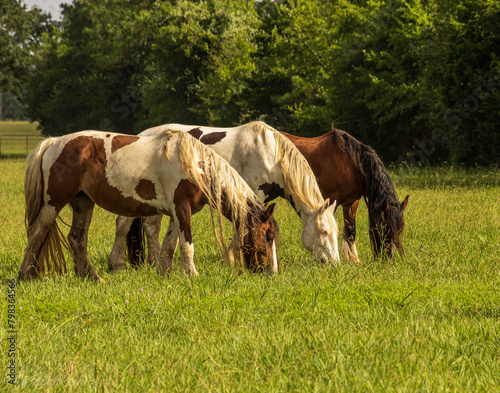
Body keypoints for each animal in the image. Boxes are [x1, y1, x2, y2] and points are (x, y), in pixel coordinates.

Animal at [17, 129, 280, 282]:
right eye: (268, 236)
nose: (271, 272)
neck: (195, 165)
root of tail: (52, 143)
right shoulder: (182, 209)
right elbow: (187, 245)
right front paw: (192, 274)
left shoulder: (176, 213)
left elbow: (170, 245)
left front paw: (164, 273)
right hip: (53, 203)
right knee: (37, 233)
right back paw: (26, 275)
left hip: (83, 202)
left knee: (77, 239)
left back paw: (91, 277)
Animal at [110, 120, 340, 270]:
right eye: (324, 232)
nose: (335, 264)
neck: (271, 154)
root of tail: (141, 135)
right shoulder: (250, 194)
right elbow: (239, 231)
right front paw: (231, 259)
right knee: (123, 223)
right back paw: (118, 263)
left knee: (151, 227)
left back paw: (154, 261)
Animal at [280, 126, 408, 260]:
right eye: (383, 226)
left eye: (401, 229)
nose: (389, 257)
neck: (351, 163)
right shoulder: (330, 201)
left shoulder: (351, 203)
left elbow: (350, 230)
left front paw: (353, 259)